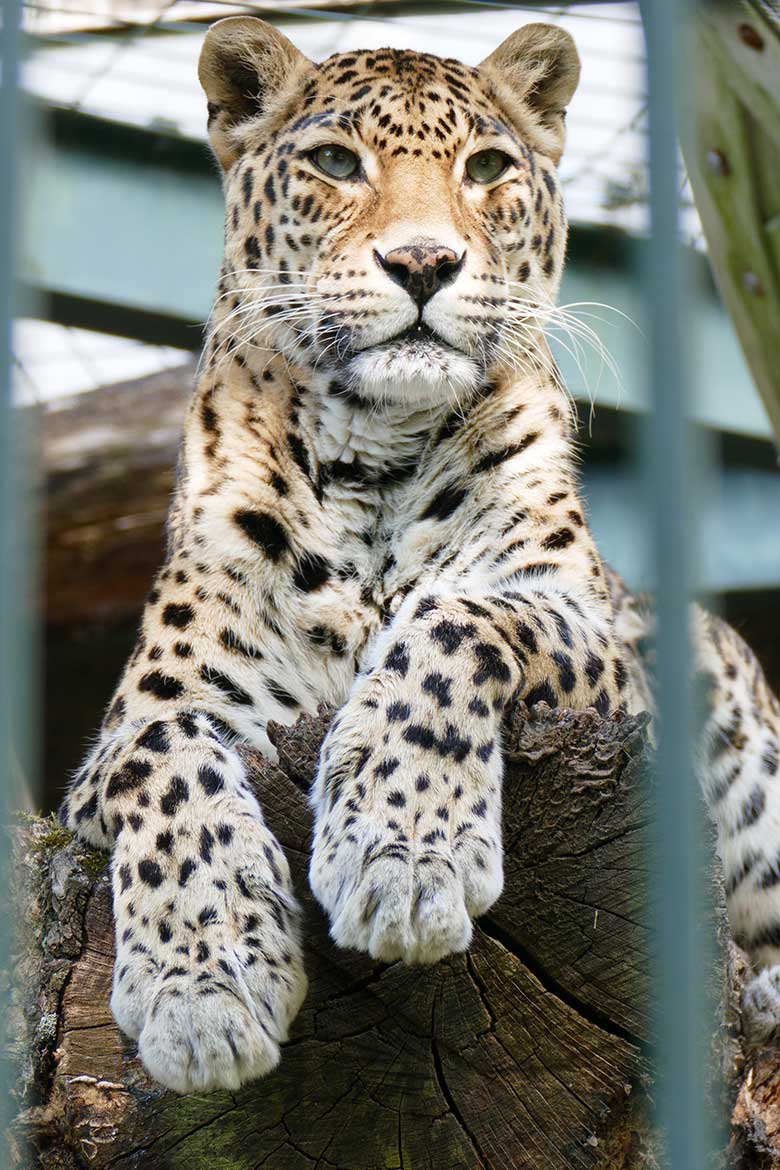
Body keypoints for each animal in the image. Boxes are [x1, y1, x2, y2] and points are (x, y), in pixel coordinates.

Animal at [59, 13, 780, 1095]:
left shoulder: (610, 657)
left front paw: (400, 855)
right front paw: (205, 985)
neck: (374, 459)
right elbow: (165, 757)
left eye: (484, 167)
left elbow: (457, 620)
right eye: (333, 162)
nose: (425, 262)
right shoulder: (133, 727)